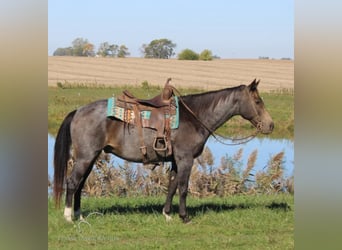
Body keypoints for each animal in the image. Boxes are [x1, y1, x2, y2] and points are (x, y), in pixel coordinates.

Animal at [53, 78, 274, 223]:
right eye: (257, 101)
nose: (270, 125)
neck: (194, 117)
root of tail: (78, 111)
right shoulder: (186, 159)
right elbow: (183, 187)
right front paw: (184, 217)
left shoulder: (176, 159)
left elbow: (172, 185)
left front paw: (167, 214)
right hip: (85, 157)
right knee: (72, 182)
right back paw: (68, 217)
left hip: (91, 157)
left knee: (80, 184)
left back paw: (79, 215)